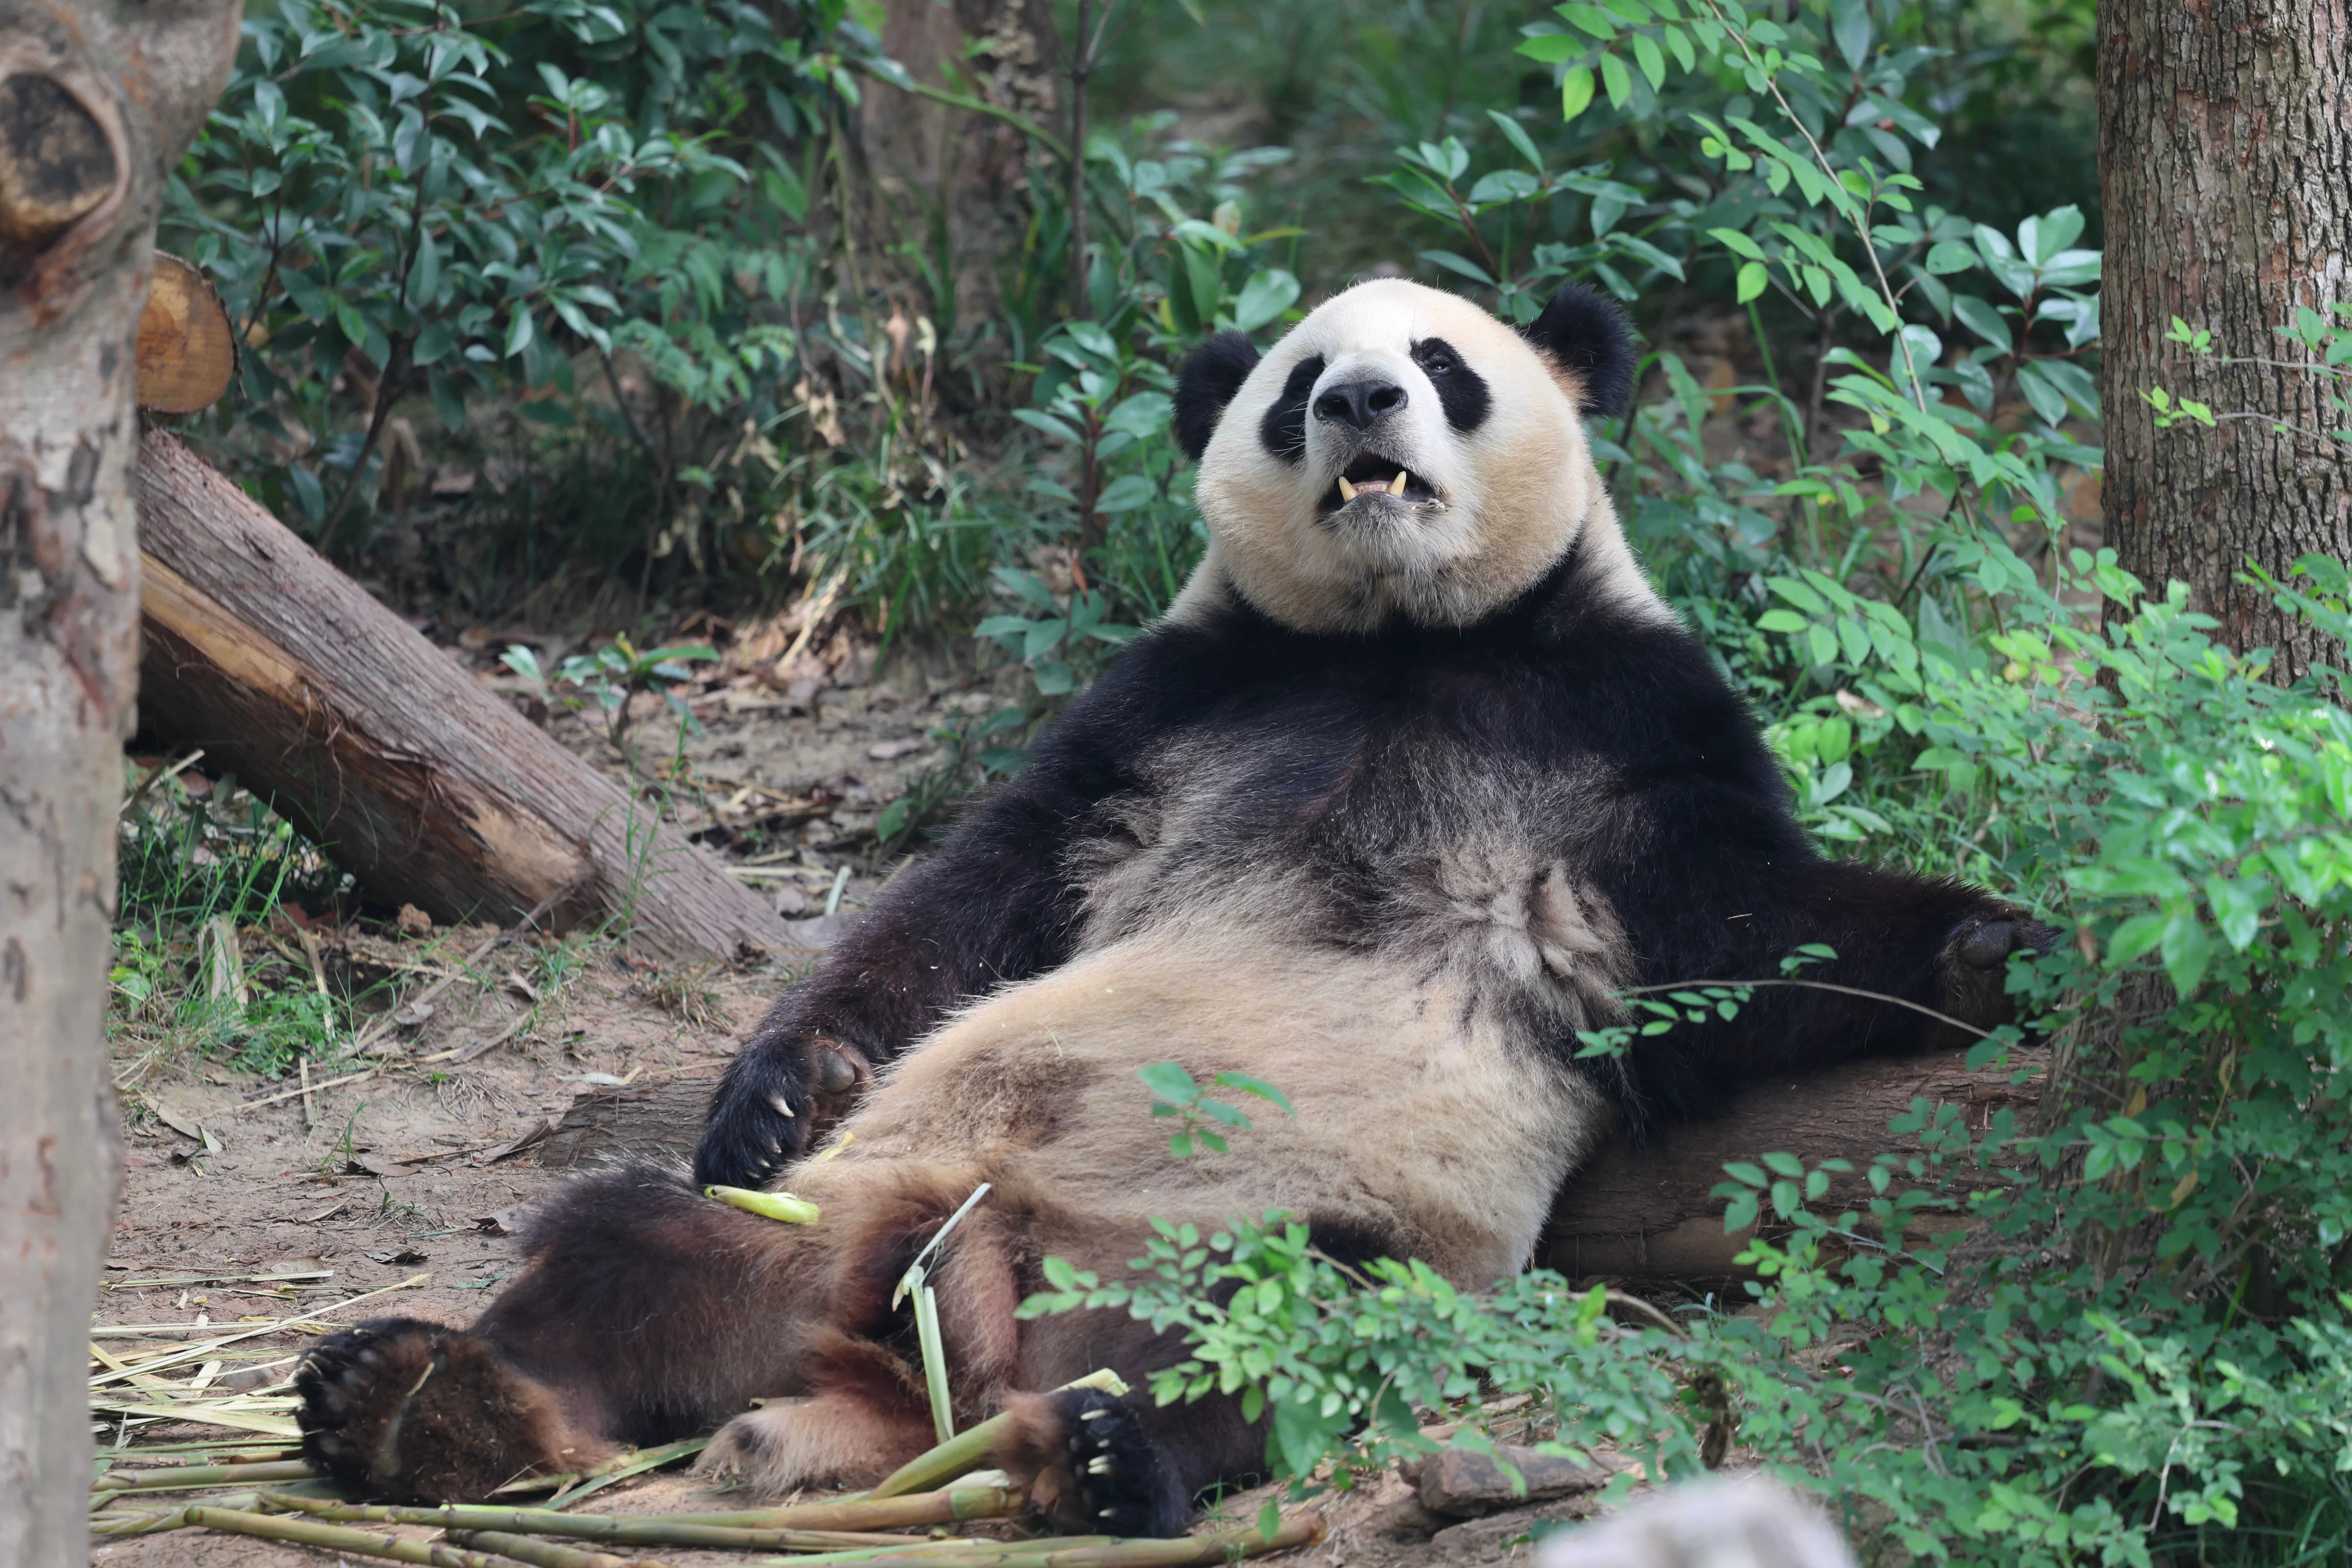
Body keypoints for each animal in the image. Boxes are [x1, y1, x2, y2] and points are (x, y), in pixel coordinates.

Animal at [294, 278, 2042, 1530]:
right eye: (1297, 377)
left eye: (1440, 360)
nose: (1358, 401)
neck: (1397, 644)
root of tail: (928, 1337)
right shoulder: (1171, 701)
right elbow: (980, 890)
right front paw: (777, 1085)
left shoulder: (1622, 716)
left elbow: (1744, 929)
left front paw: (1999, 946)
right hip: (821, 1227)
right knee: (622, 1244)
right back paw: (420, 1404)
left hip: (1278, 1233)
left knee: (1275, 1339)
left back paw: (1106, 1457)